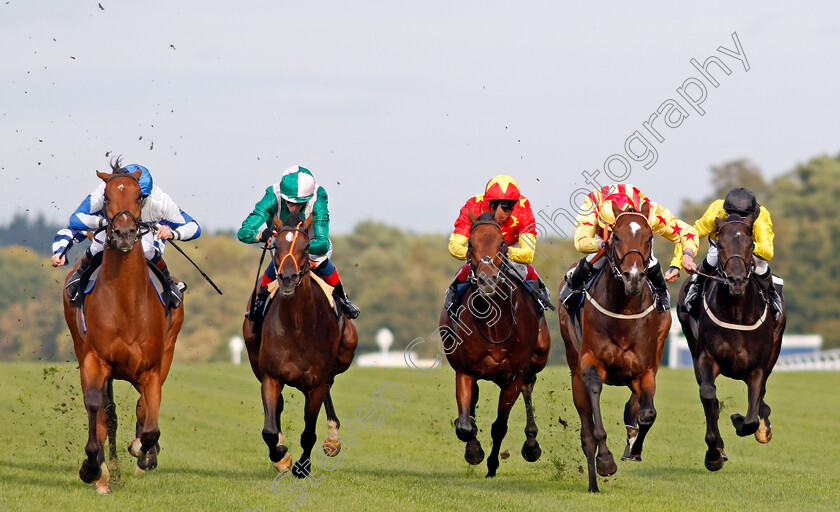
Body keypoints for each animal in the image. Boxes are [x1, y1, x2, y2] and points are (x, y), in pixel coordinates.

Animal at [62, 164, 185, 492]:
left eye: (139, 197)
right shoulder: (95, 359)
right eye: (106, 196)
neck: (127, 303)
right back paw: (105, 471)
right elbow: (97, 407)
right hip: (81, 348)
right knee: (104, 411)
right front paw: (92, 466)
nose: (125, 233)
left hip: (168, 349)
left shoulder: (152, 369)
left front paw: (143, 451)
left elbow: (150, 421)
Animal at [244, 212, 360, 476]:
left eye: (306, 247)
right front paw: (281, 455)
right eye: (275, 246)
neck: (297, 326)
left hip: (346, 351)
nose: (287, 278)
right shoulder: (271, 376)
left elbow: (309, 433)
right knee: (278, 407)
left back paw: (333, 439)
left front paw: (303, 467)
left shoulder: (315, 383)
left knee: (329, 384)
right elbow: (269, 430)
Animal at [440, 210, 552, 478]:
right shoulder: (465, 371)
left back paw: (531, 444)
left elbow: (500, 426)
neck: (494, 324)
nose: (487, 280)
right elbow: (465, 425)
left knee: (529, 386)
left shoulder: (512, 378)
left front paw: (492, 466)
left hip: (537, 359)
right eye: (471, 243)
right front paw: (474, 452)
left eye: (502, 243)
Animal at [556, 203, 668, 492]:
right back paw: (593, 482)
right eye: (615, 237)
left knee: (636, 406)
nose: (634, 277)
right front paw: (605, 461)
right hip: (575, 372)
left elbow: (648, 414)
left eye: (649, 238)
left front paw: (634, 449)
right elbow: (595, 424)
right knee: (586, 430)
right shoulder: (590, 365)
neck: (623, 313)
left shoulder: (645, 371)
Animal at [676, 214, 788, 470]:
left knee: (761, 397)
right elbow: (709, 397)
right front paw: (714, 453)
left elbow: (751, 416)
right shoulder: (706, 358)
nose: (736, 281)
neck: (737, 312)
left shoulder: (758, 367)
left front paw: (742, 420)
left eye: (750, 245)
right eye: (721, 245)